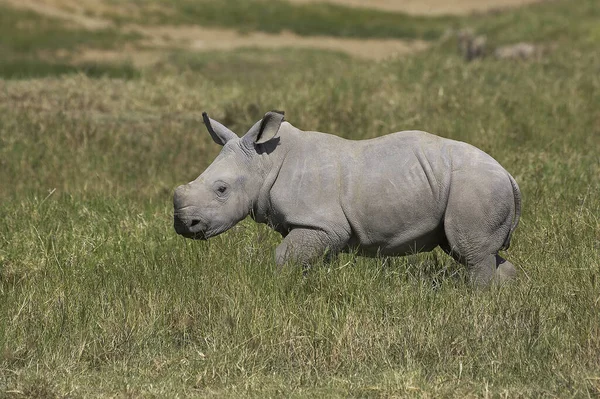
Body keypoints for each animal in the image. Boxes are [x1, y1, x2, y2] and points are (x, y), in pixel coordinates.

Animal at [173, 110, 520, 284]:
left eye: (221, 190)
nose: (183, 225)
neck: (265, 162)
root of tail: (509, 175)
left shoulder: (321, 224)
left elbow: (283, 258)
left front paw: (279, 289)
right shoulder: (316, 228)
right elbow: (304, 259)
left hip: (476, 186)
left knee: (471, 255)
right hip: (473, 187)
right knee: (471, 252)